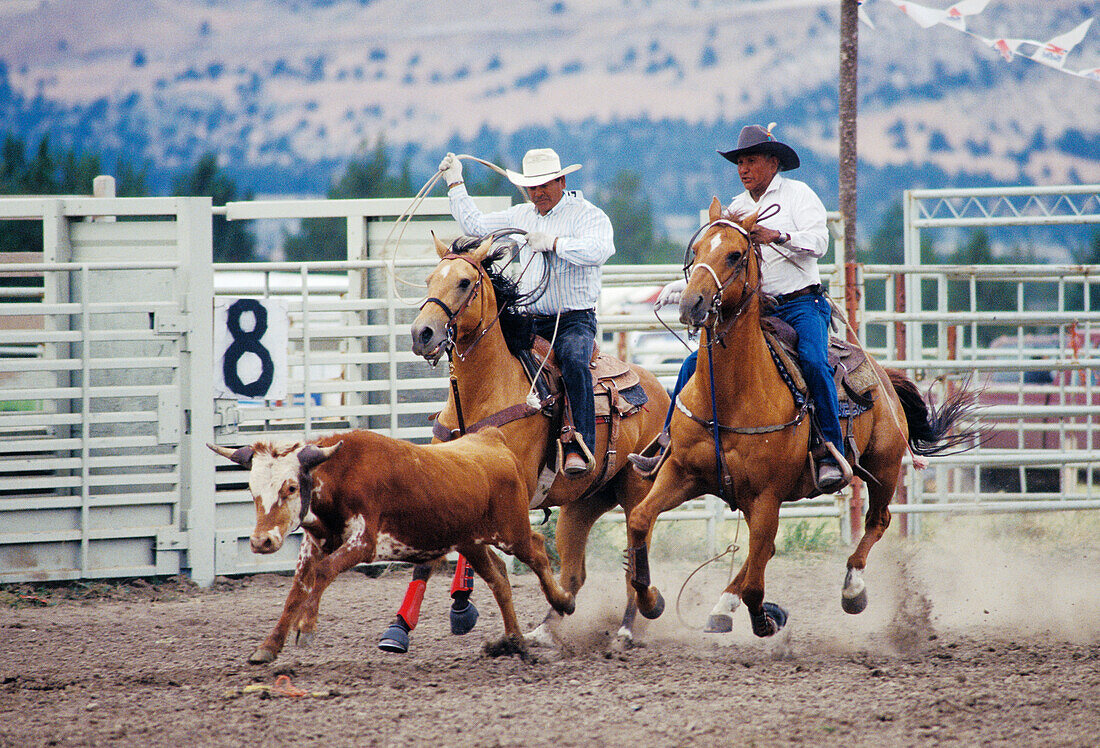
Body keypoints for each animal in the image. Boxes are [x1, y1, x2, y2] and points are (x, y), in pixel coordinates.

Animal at [203, 424, 576, 664]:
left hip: (512, 532)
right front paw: (269, 646)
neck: (340, 475)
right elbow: (297, 589)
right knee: (498, 578)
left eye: (291, 487)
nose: (261, 541)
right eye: (251, 490)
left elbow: (323, 573)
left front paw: (306, 628)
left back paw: (563, 602)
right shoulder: (313, 543)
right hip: (469, 540)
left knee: (538, 550)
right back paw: (513, 641)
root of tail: (492, 439)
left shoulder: (363, 543)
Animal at [398, 233, 668, 646]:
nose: (421, 334)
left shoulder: (514, 493)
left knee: (635, 559)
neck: (481, 395)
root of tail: (656, 387)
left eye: (464, 282)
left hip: (638, 490)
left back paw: (627, 625)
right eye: (429, 279)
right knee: (575, 571)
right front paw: (402, 628)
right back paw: (545, 628)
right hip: (582, 503)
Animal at [629, 199, 981, 638]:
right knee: (763, 551)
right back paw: (722, 606)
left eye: (735, 254)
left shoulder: (766, 495)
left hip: (883, 466)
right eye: (696, 252)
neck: (731, 397)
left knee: (875, 521)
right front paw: (651, 599)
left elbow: (757, 581)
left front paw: (766, 618)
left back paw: (852, 589)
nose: (691, 303)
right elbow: (640, 519)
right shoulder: (681, 472)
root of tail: (883, 374)